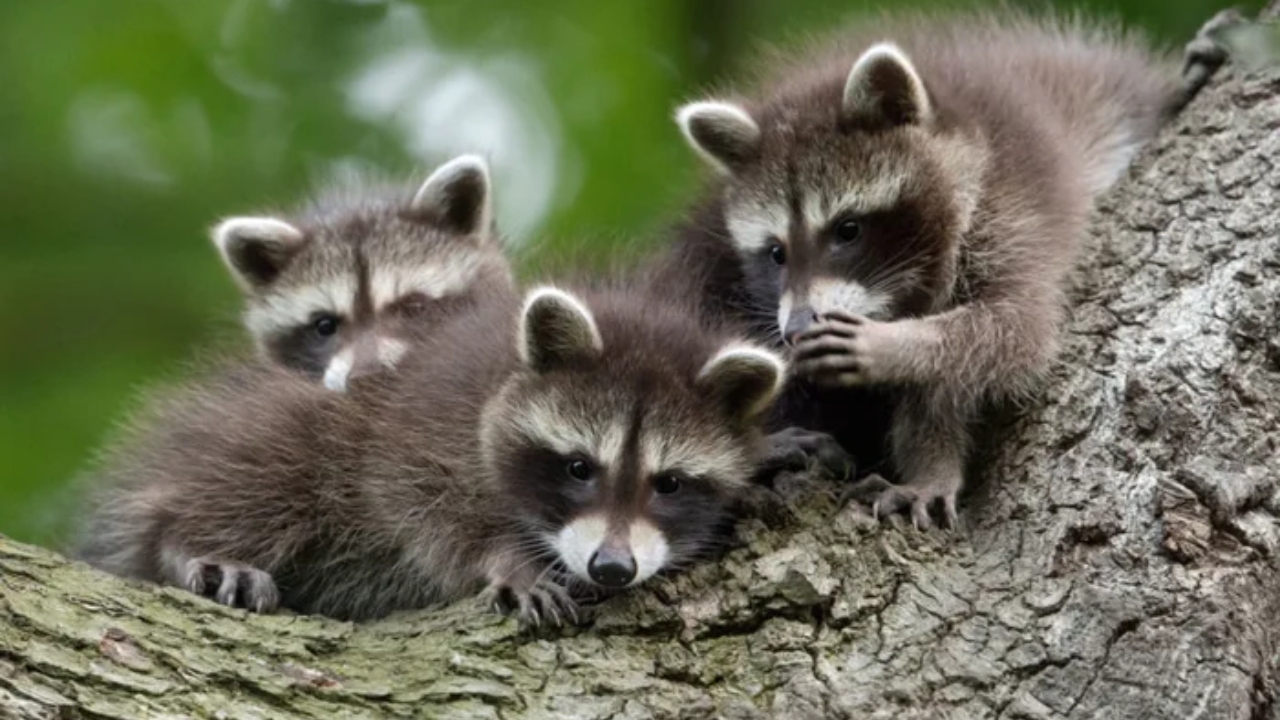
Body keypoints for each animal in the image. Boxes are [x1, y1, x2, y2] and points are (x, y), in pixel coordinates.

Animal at [77, 280, 788, 622]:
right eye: (579, 468)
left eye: (669, 484)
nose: (612, 568)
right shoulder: (426, 422)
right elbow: (419, 501)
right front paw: (506, 558)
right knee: (282, 461)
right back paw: (182, 539)